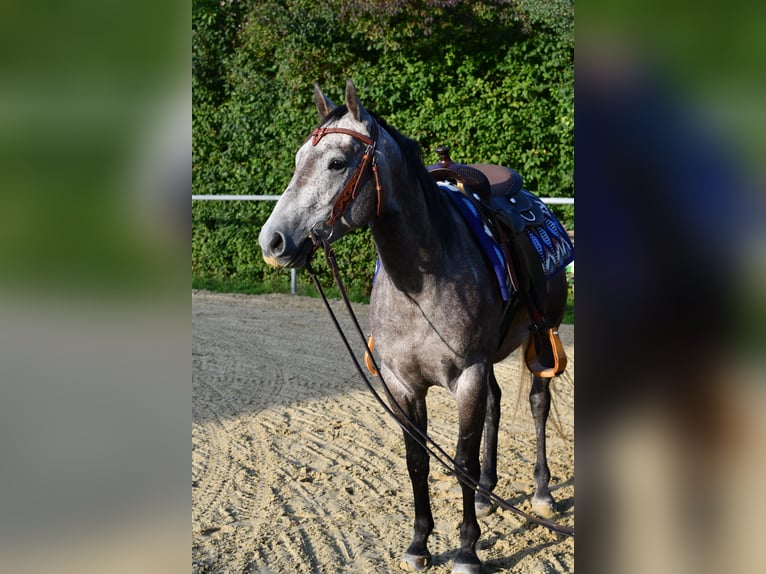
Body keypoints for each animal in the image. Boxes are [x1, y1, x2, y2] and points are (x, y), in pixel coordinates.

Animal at [259, 80, 570, 573]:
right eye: (296, 159)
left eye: (337, 162)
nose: (272, 241)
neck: (422, 284)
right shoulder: (402, 383)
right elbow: (417, 460)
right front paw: (420, 542)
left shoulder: (468, 376)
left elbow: (460, 459)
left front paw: (467, 550)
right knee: (497, 405)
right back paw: (486, 494)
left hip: (541, 337)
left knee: (538, 403)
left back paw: (541, 493)